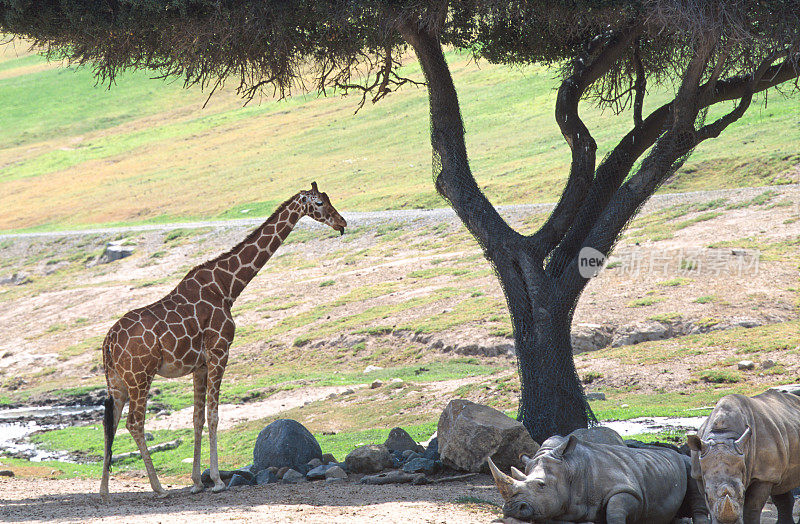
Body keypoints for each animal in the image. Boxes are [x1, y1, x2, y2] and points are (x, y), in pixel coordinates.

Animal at [98, 182, 346, 498]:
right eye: (318, 202)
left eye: (328, 199)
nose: (342, 223)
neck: (228, 287)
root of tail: (108, 343)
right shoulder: (220, 353)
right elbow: (215, 416)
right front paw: (216, 481)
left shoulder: (200, 365)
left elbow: (197, 418)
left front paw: (196, 482)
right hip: (141, 376)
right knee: (134, 423)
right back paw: (158, 488)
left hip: (117, 380)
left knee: (110, 422)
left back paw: (105, 490)